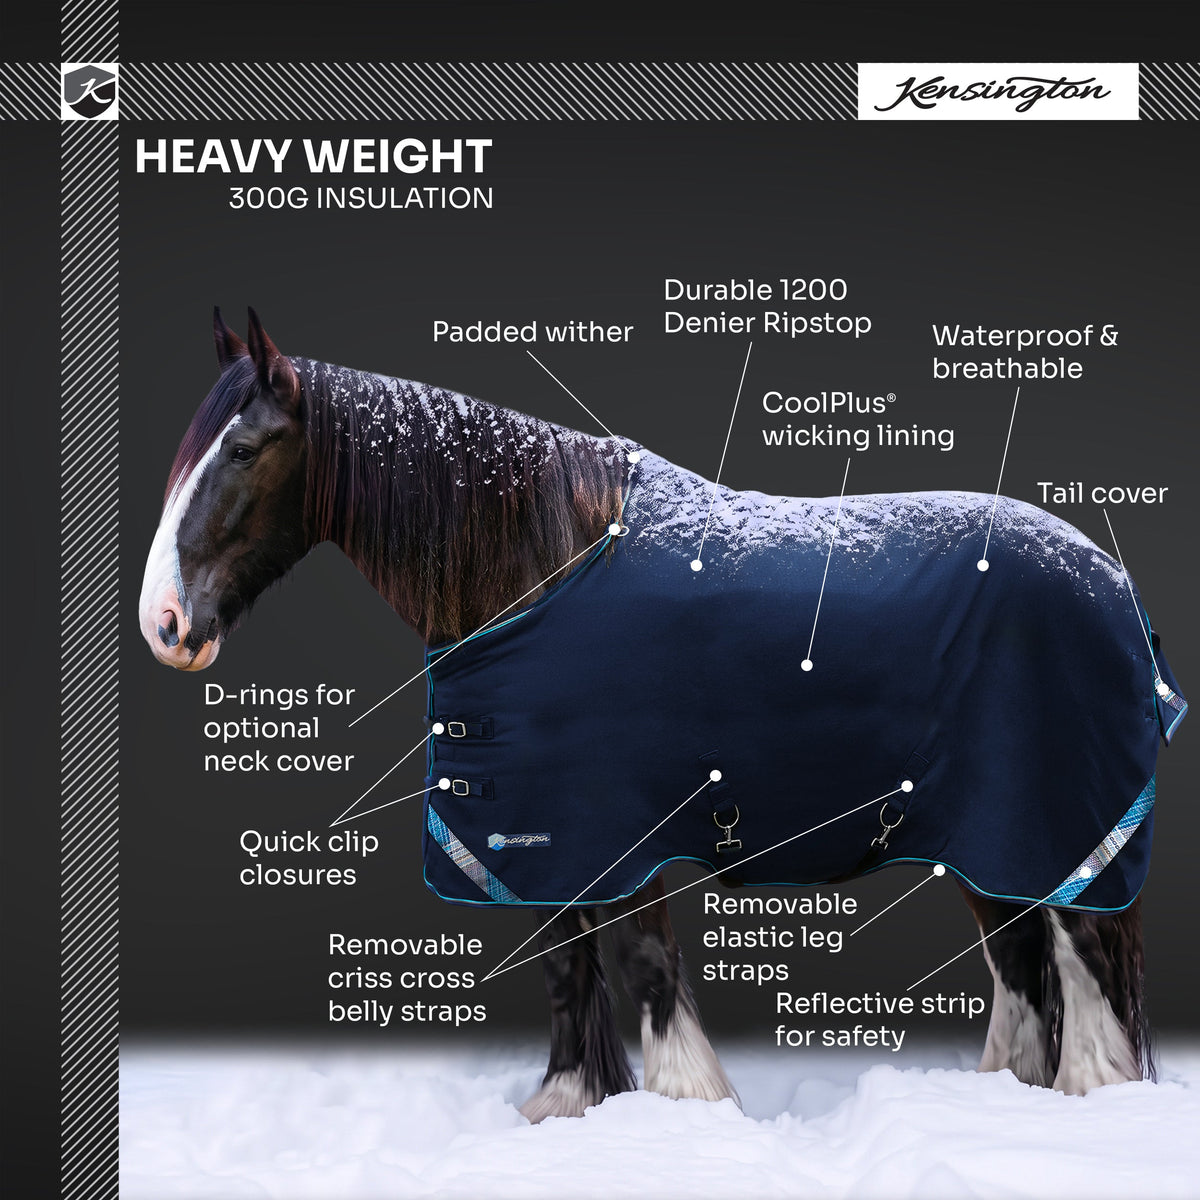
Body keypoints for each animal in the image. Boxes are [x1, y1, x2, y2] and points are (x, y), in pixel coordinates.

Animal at [140, 309, 1183, 1118]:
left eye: (242, 449)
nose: (166, 626)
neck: (544, 563)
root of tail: (1113, 584)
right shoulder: (542, 829)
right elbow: (564, 962)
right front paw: (568, 1105)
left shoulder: (618, 827)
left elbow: (638, 961)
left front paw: (685, 1107)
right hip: (983, 839)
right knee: (1019, 958)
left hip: (1048, 824)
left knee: (1076, 954)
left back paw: (1089, 1099)